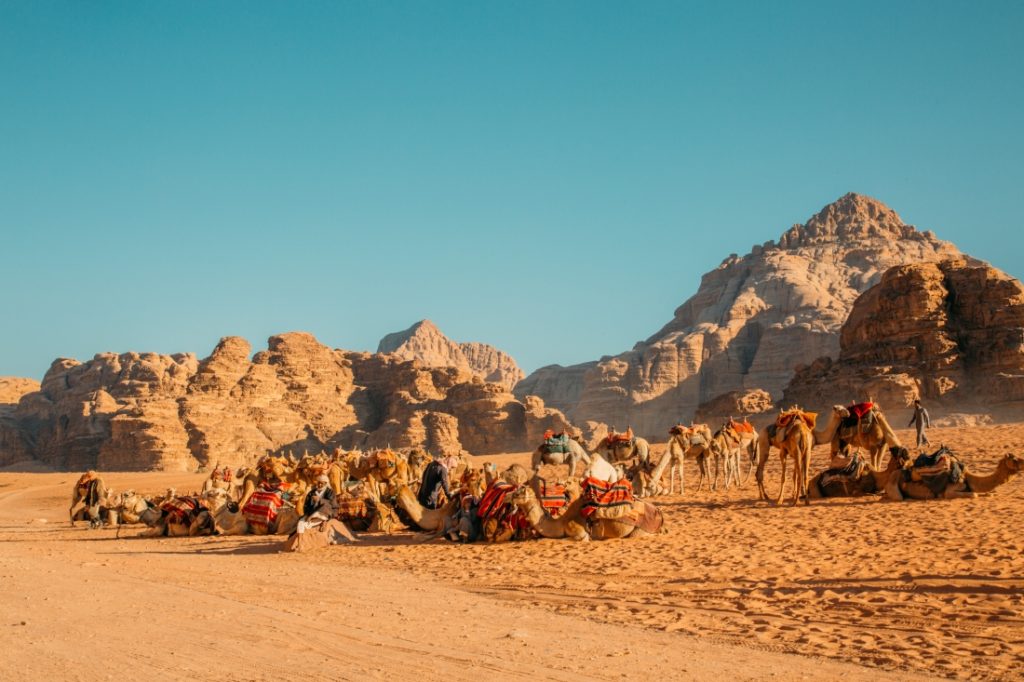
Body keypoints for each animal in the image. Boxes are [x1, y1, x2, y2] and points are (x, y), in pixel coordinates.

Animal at [880, 450, 1024, 499]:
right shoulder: (950, 491)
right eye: (1014, 459)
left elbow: (986, 493)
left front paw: (989, 493)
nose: (1023, 462)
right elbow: (974, 494)